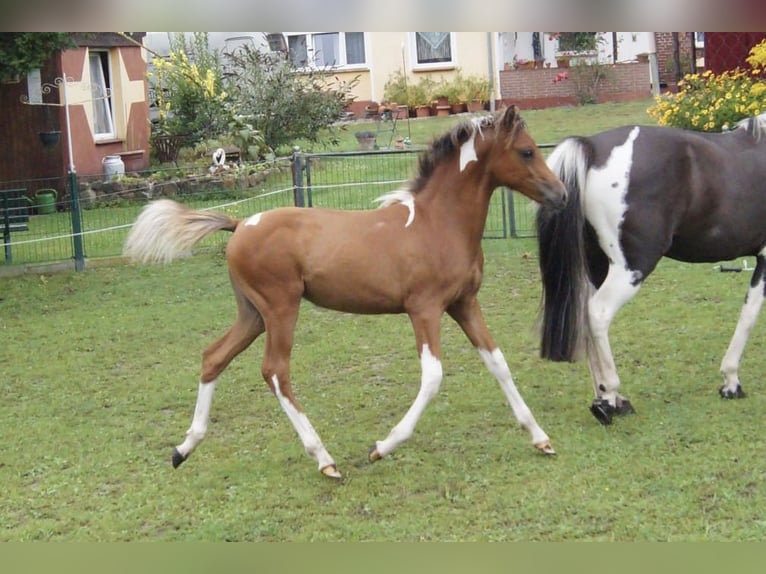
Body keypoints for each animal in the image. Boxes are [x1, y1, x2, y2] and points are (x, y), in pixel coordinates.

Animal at [126, 106, 568, 480]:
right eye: (527, 151)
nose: (561, 194)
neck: (437, 223)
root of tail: (240, 225)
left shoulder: (464, 303)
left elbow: (498, 363)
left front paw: (541, 438)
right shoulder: (424, 309)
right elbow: (432, 377)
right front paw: (382, 447)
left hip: (252, 313)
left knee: (213, 357)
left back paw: (183, 449)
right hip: (280, 309)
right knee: (274, 371)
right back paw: (324, 459)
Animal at [536, 112, 766, 426]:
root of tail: (592, 147)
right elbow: (749, 315)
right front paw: (731, 381)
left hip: (597, 267)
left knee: (586, 315)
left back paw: (604, 397)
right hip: (631, 268)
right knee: (598, 313)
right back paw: (610, 399)